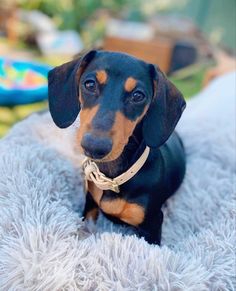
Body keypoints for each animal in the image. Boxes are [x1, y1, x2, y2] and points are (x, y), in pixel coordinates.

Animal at [47, 50, 185, 246]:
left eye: (138, 96)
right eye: (89, 84)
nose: (94, 146)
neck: (113, 177)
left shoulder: (152, 225)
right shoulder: (90, 202)